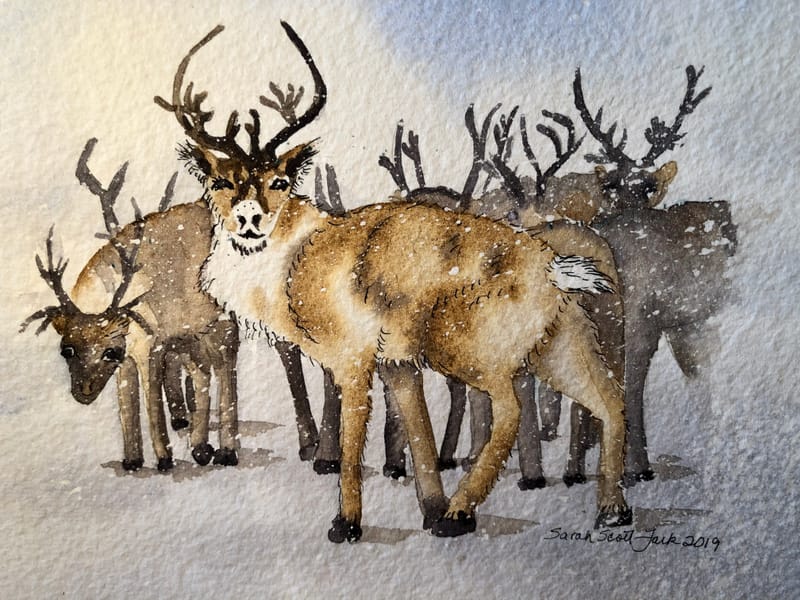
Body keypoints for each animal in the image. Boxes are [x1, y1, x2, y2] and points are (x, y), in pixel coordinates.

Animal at [156, 22, 631, 543]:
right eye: (220, 181)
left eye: (280, 180)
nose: (248, 219)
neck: (297, 260)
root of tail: (551, 264)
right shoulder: (397, 363)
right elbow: (418, 430)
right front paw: (429, 509)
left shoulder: (353, 359)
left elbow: (352, 440)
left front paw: (346, 524)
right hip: (558, 347)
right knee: (611, 401)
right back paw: (612, 512)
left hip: (461, 346)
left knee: (511, 409)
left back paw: (462, 515)